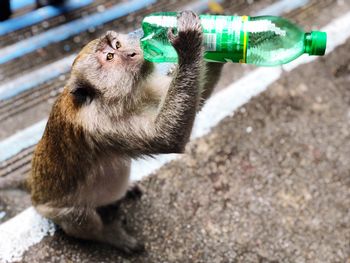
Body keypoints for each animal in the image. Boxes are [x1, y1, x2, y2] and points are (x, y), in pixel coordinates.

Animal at [23, 10, 224, 254]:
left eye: (117, 44)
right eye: (110, 57)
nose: (132, 52)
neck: (111, 99)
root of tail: (32, 189)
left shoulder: (146, 85)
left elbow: (197, 101)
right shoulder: (101, 124)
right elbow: (167, 137)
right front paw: (188, 44)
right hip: (49, 210)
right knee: (79, 216)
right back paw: (111, 236)